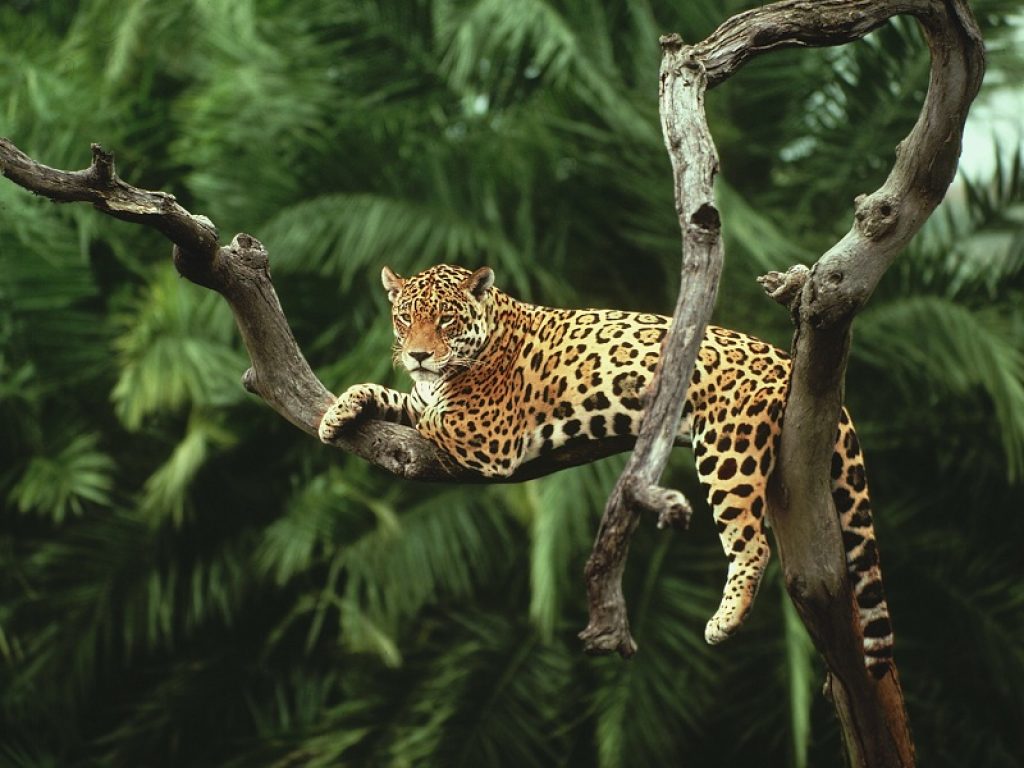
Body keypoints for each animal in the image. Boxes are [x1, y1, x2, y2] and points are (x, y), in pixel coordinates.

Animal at [319, 263, 894, 677]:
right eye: (404, 319)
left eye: (446, 321)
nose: (418, 354)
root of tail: (785, 360)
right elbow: (395, 396)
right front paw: (337, 412)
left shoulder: (487, 433)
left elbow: (430, 413)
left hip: (727, 450)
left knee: (751, 543)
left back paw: (724, 621)